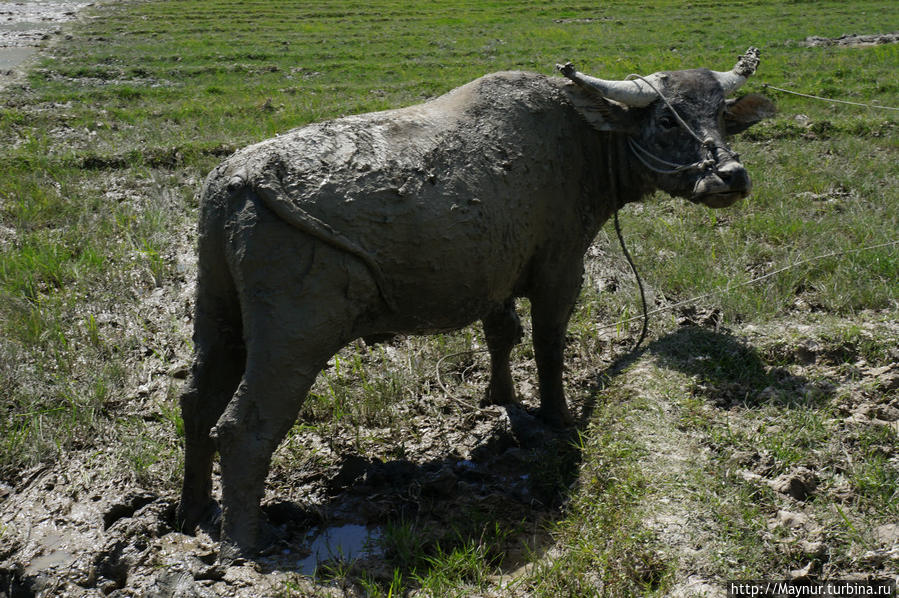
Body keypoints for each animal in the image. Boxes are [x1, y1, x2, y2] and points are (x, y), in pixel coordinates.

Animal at [174, 48, 772, 556]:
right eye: (668, 120)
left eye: (721, 115)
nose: (731, 176)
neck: (582, 142)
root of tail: (240, 179)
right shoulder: (561, 269)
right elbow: (549, 345)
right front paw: (556, 416)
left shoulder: (495, 278)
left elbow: (502, 336)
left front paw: (499, 396)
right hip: (293, 338)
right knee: (243, 429)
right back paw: (244, 544)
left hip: (218, 313)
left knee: (196, 403)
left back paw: (193, 511)